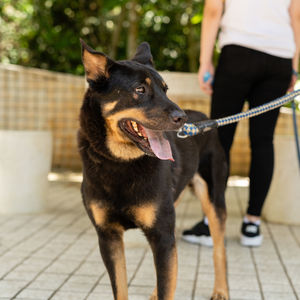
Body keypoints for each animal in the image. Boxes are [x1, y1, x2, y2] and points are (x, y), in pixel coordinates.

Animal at [78, 40, 229, 300]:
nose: (182, 117)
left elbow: (169, 280)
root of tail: (204, 119)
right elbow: (122, 287)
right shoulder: (108, 236)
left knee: (219, 249)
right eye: (140, 90)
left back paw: (220, 290)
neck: (120, 162)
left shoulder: (162, 235)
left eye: (165, 89)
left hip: (213, 198)